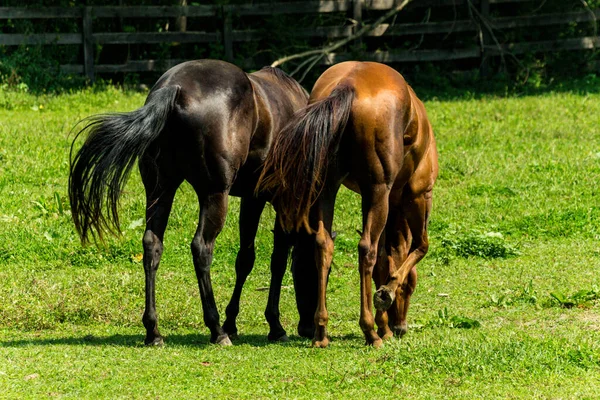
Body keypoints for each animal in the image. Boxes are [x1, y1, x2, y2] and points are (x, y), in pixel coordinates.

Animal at [68, 58, 308, 344]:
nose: (308, 326)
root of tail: (175, 88)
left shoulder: (252, 198)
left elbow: (246, 259)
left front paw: (233, 322)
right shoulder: (279, 200)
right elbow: (277, 260)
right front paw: (273, 325)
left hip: (161, 190)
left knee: (152, 245)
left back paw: (153, 330)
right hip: (214, 195)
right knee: (202, 248)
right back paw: (215, 330)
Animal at [260, 60, 438, 346]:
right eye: (410, 286)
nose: (401, 327)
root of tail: (349, 84)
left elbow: (385, 259)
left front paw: (384, 324)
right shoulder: (417, 196)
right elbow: (418, 248)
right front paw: (386, 296)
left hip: (328, 190)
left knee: (323, 245)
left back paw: (321, 331)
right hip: (378, 191)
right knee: (366, 249)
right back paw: (369, 331)